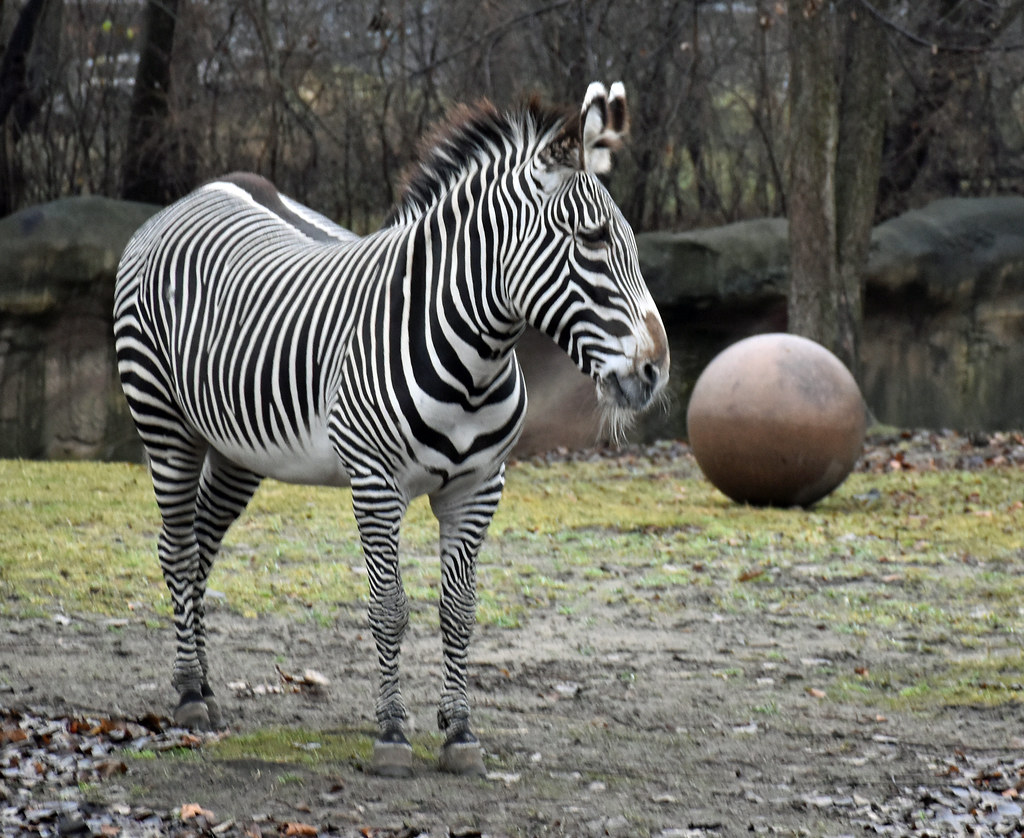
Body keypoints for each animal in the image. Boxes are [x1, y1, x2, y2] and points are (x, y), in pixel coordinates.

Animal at [113, 81, 669, 777]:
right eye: (590, 240)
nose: (654, 370)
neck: (474, 360)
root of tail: (200, 192)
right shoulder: (376, 483)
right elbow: (390, 607)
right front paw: (393, 733)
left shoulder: (480, 486)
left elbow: (459, 610)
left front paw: (460, 732)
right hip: (164, 423)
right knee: (177, 547)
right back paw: (189, 694)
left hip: (240, 446)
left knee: (203, 545)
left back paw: (208, 687)